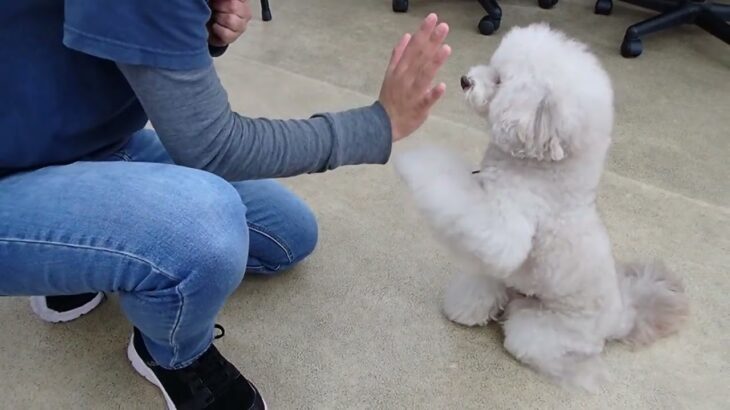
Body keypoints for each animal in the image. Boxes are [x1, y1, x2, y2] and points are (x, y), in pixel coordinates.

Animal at [396, 24, 684, 392]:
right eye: (492, 68)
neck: (538, 168)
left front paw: (417, 162)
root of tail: (621, 317)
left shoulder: (505, 230)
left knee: (529, 337)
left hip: (546, 329)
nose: (465, 80)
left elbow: (451, 186)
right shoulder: (491, 248)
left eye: (500, 80)